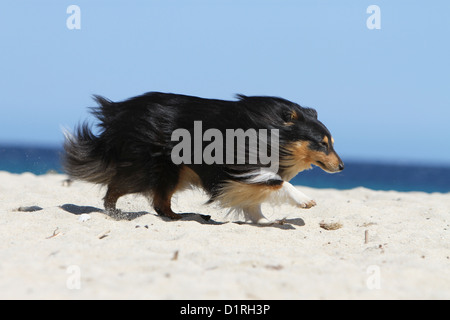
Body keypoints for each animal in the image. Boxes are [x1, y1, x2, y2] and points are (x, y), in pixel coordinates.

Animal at [63, 91, 344, 224]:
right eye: (322, 143)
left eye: (330, 143)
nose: (342, 167)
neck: (273, 132)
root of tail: (119, 112)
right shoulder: (243, 166)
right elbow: (277, 182)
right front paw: (304, 200)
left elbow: (253, 203)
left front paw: (266, 221)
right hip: (152, 168)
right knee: (115, 188)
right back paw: (115, 213)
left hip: (175, 172)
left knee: (160, 202)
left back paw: (180, 216)